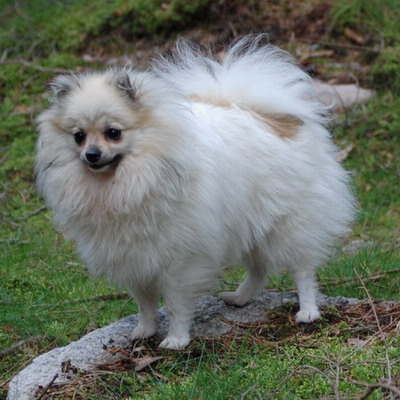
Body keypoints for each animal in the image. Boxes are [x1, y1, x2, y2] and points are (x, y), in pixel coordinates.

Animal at [33, 37, 354, 350]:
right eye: (79, 136)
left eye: (113, 133)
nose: (91, 154)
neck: (129, 181)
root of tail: (274, 117)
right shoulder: (134, 255)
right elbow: (144, 302)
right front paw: (144, 330)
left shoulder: (180, 258)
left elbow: (176, 303)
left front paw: (176, 339)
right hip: (251, 221)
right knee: (259, 268)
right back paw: (240, 297)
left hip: (290, 224)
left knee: (302, 269)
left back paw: (308, 310)